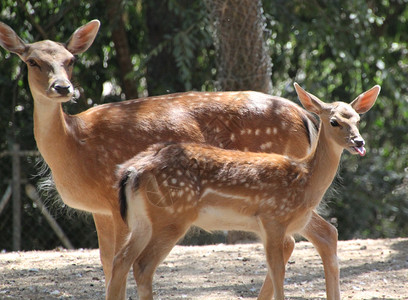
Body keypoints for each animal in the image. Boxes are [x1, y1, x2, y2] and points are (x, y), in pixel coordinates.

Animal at [109, 82, 380, 300]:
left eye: (357, 119)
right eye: (334, 121)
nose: (359, 142)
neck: (304, 179)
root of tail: (132, 171)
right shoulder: (273, 219)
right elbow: (278, 273)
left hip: (143, 221)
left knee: (120, 259)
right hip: (172, 216)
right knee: (142, 265)